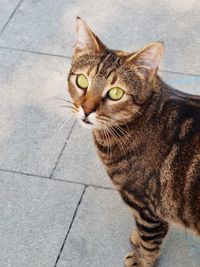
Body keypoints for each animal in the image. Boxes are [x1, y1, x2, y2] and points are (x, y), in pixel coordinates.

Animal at [67, 17, 200, 267]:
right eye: (81, 80)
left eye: (116, 93)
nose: (86, 110)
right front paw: (136, 239)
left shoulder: (147, 208)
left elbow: (150, 242)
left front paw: (141, 260)